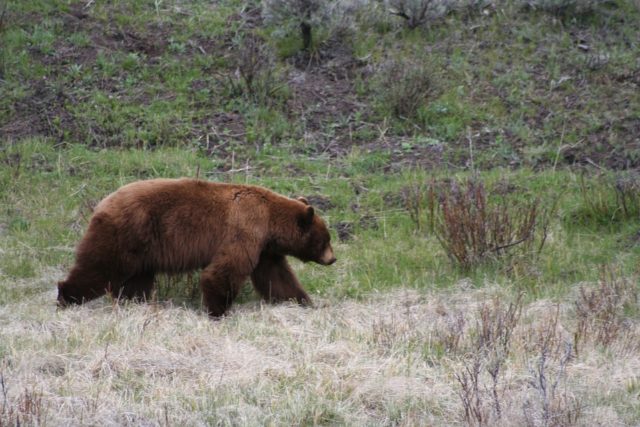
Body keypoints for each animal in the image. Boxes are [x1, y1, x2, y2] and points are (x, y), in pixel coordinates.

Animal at [57, 178, 336, 317]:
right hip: (124, 233)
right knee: (98, 267)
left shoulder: (266, 249)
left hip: (141, 249)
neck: (269, 221)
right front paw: (218, 311)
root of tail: (101, 203)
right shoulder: (245, 230)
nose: (332, 259)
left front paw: (303, 302)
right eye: (326, 239)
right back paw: (66, 297)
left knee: (136, 281)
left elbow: (277, 277)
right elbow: (225, 269)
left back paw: (135, 304)